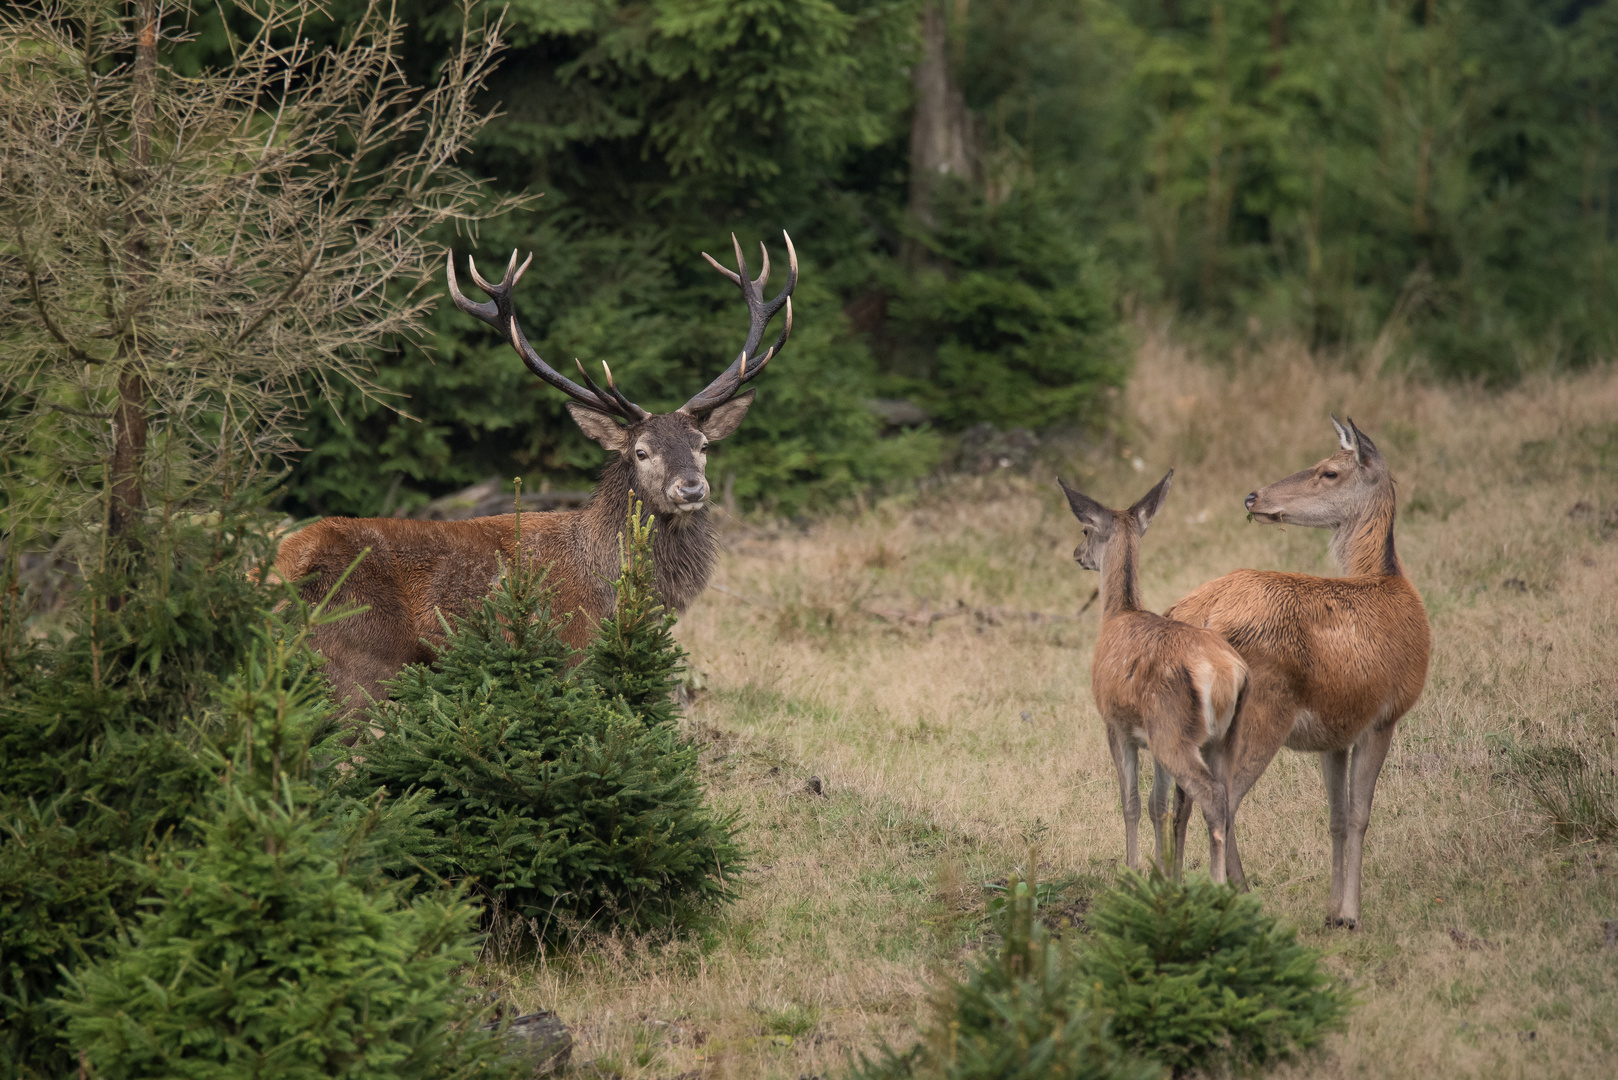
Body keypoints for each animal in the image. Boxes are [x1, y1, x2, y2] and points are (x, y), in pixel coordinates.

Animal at [276, 234, 796, 718]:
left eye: (703, 446)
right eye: (641, 451)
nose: (690, 487)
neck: (617, 590)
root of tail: (290, 569)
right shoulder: (576, 655)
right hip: (360, 664)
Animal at [1061, 469, 1249, 880]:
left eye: (1085, 529)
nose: (1077, 554)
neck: (1118, 613)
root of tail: (1227, 673)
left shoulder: (1115, 724)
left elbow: (1130, 801)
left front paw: (1131, 872)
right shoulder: (1148, 737)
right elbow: (1157, 804)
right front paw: (1161, 875)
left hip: (1171, 729)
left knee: (1213, 797)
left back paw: (1216, 884)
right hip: (1219, 737)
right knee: (1226, 797)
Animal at [1164, 417, 1430, 926]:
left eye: (1328, 471)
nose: (1252, 497)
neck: (1389, 579)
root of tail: (1197, 615)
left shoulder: (1336, 733)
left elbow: (1337, 818)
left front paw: (1331, 911)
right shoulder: (1385, 714)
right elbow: (1361, 815)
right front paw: (1351, 914)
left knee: (1181, 803)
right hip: (1261, 712)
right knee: (1221, 802)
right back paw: (1236, 896)